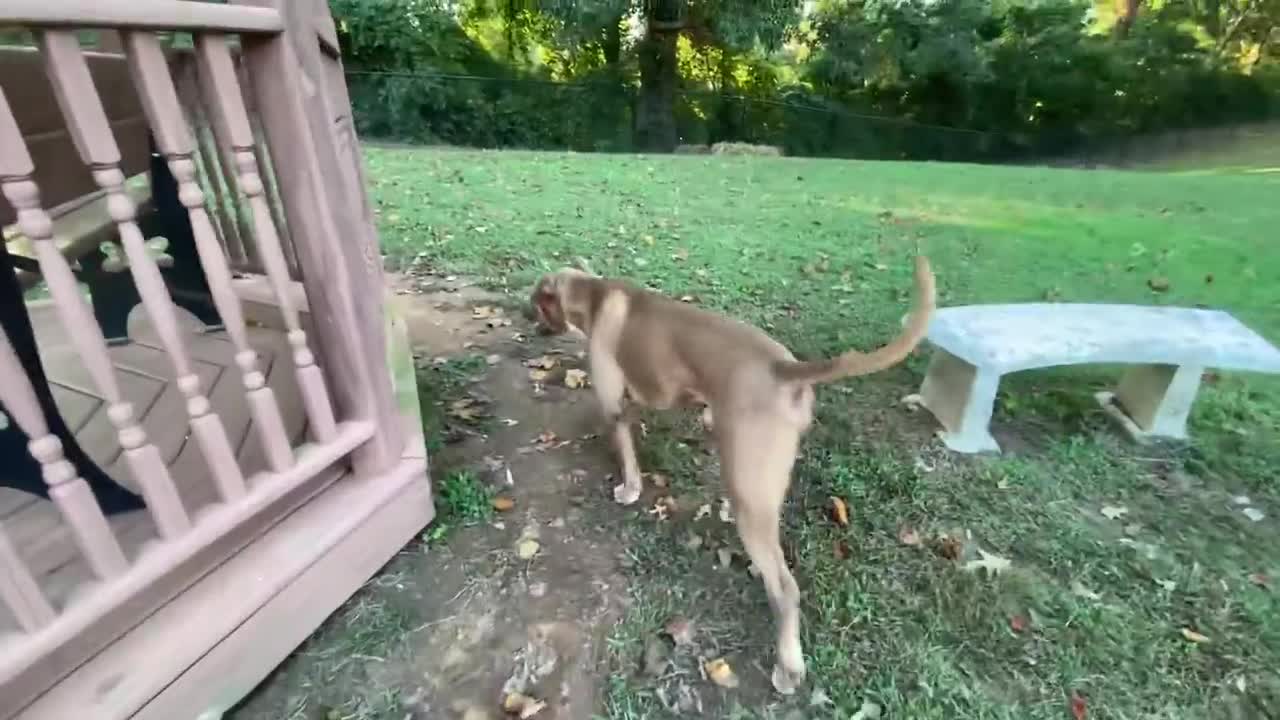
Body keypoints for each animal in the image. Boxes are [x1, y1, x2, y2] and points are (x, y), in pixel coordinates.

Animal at [524, 254, 936, 691]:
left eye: (535, 301)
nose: (523, 313)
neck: (594, 295)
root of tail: (783, 367)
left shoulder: (615, 405)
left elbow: (628, 458)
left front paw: (629, 488)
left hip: (749, 493)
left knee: (785, 589)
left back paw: (788, 668)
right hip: (758, 483)